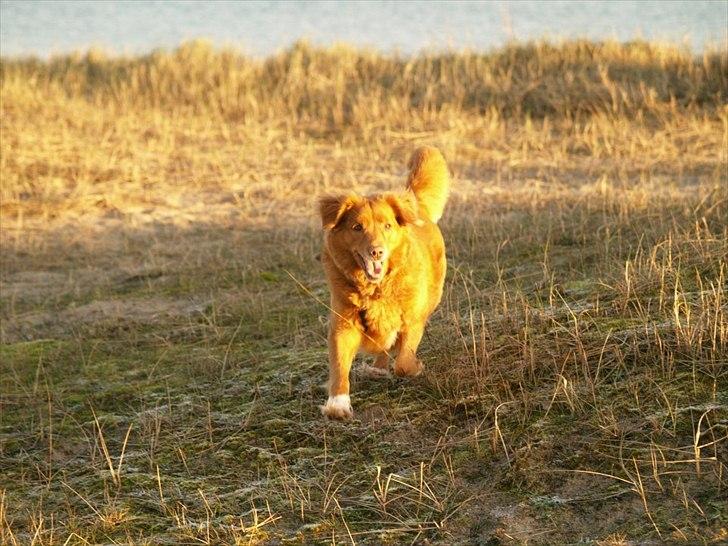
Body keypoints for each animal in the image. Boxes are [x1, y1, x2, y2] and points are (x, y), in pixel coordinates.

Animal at [318, 144, 450, 416]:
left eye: (387, 226)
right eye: (357, 227)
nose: (376, 252)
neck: (374, 289)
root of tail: (416, 204)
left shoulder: (412, 321)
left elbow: (403, 363)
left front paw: (415, 366)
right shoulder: (343, 324)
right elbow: (339, 365)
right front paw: (338, 403)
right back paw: (378, 368)